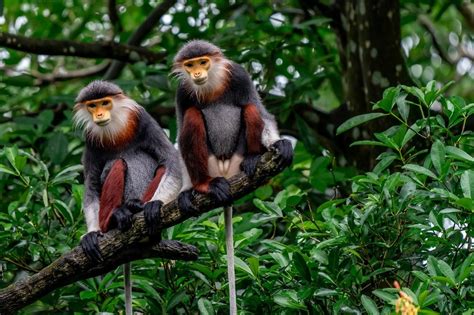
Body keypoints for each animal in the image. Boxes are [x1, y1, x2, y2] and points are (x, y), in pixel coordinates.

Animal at [73, 80, 181, 314]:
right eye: (92, 106)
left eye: (105, 103)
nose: (99, 114)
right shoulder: (90, 139)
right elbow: (92, 186)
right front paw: (91, 233)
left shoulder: (143, 120)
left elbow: (171, 160)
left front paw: (154, 205)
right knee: (118, 163)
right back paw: (116, 217)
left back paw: (138, 210)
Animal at [172, 40, 294, 314]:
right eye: (190, 65)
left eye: (203, 62)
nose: (197, 73)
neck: (211, 86)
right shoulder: (182, 92)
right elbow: (182, 124)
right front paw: (185, 191)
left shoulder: (239, 75)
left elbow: (260, 110)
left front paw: (279, 144)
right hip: (208, 164)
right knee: (192, 117)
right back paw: (202, 186)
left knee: (250, 108)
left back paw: (252, 160)